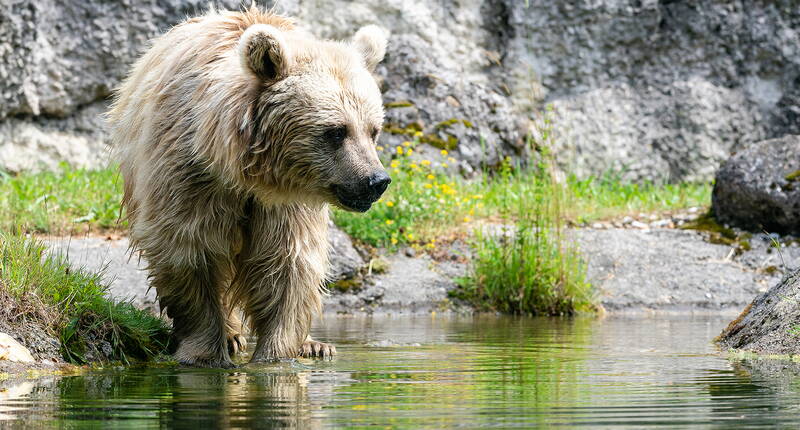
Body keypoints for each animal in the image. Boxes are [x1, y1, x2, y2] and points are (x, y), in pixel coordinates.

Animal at [108, 4, 390, 366]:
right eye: (336, 131)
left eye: (373, 130)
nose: (375, 181)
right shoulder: (188, 175)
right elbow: (188, 249)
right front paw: (204, 351)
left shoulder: (286, 204)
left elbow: (287, 264)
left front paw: (277, 353)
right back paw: (233, 336)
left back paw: (315, 345)